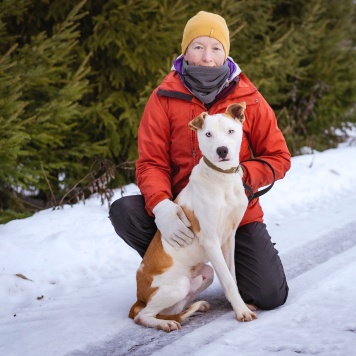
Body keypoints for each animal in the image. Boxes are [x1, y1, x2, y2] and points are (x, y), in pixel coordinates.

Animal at [129, 102, 258, 330]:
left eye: (230, 131)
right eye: (208, 134)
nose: (222, 150)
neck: (221, 178)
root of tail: (139, 297)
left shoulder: (229, 238)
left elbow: (231, 276)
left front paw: (239, 304)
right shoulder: (211, 241)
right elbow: (227, 278)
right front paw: (241, 311)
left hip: (205, 274)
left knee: (173, 309)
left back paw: (196, 308)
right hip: (176, 286)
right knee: (143, 316)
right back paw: (165, 324)